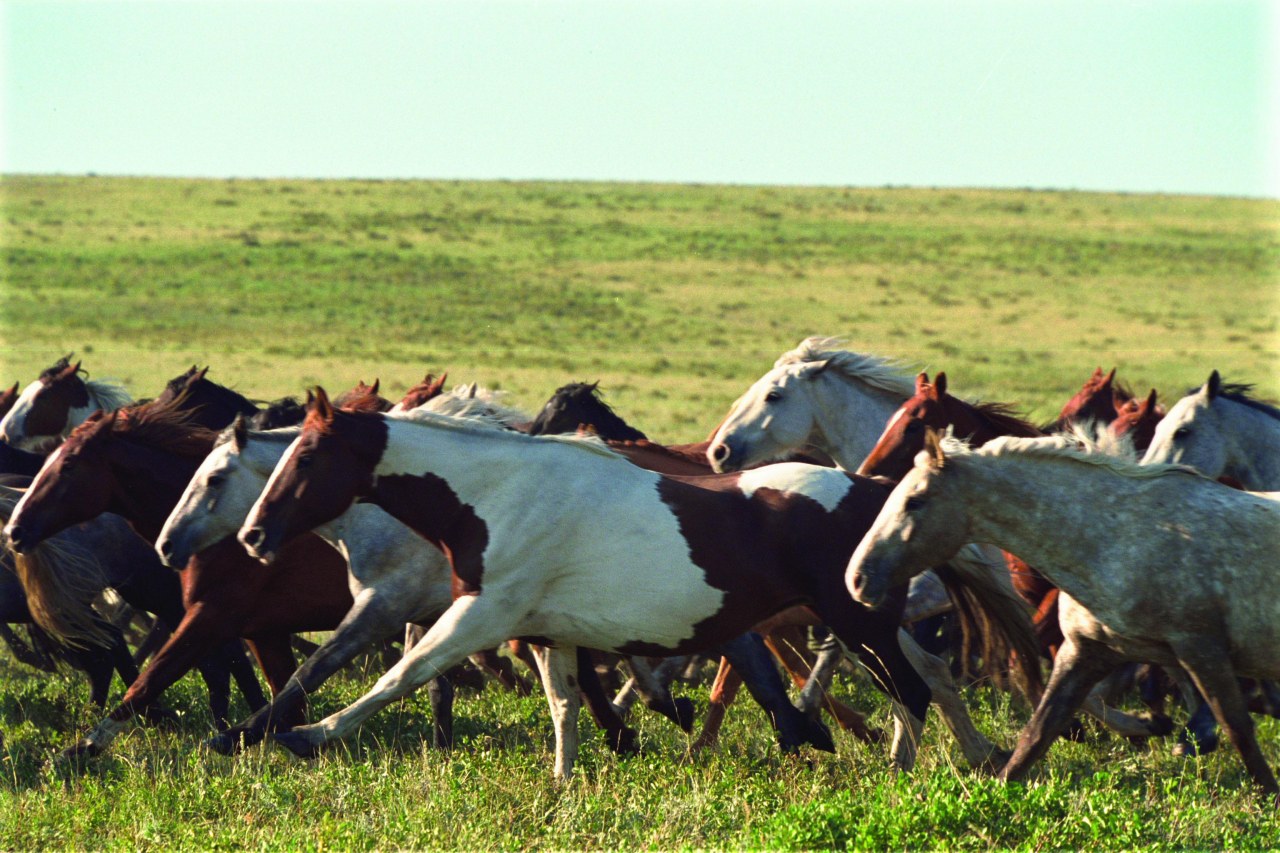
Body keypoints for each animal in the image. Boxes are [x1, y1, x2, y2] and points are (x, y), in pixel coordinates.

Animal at [2, 394, 353, 758]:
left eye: (69, 463)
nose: (15, 530)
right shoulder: (261, 631)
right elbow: (282, 692)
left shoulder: (212, 616)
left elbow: (154, 678)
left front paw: (82, 748)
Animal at [235, 389, 1039, 778]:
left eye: (306, 457)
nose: (253, 535)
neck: (497, 493)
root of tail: (871, 489)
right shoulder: (543, 631)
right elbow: (565, 707)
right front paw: (564, 780)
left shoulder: (481, 617)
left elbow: (397, 676)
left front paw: (306, 734)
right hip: (868, 619)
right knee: (925, 680)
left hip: (857, 621)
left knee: (910, 691)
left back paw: (899, 772)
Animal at [849, 432, 1280, 799]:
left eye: (915, 500)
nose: (856, 579)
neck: (1113, 540)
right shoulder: (1085, 651)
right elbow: (1038, 732)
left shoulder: (1201, 648)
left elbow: (1238, 728)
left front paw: (1269, 796)